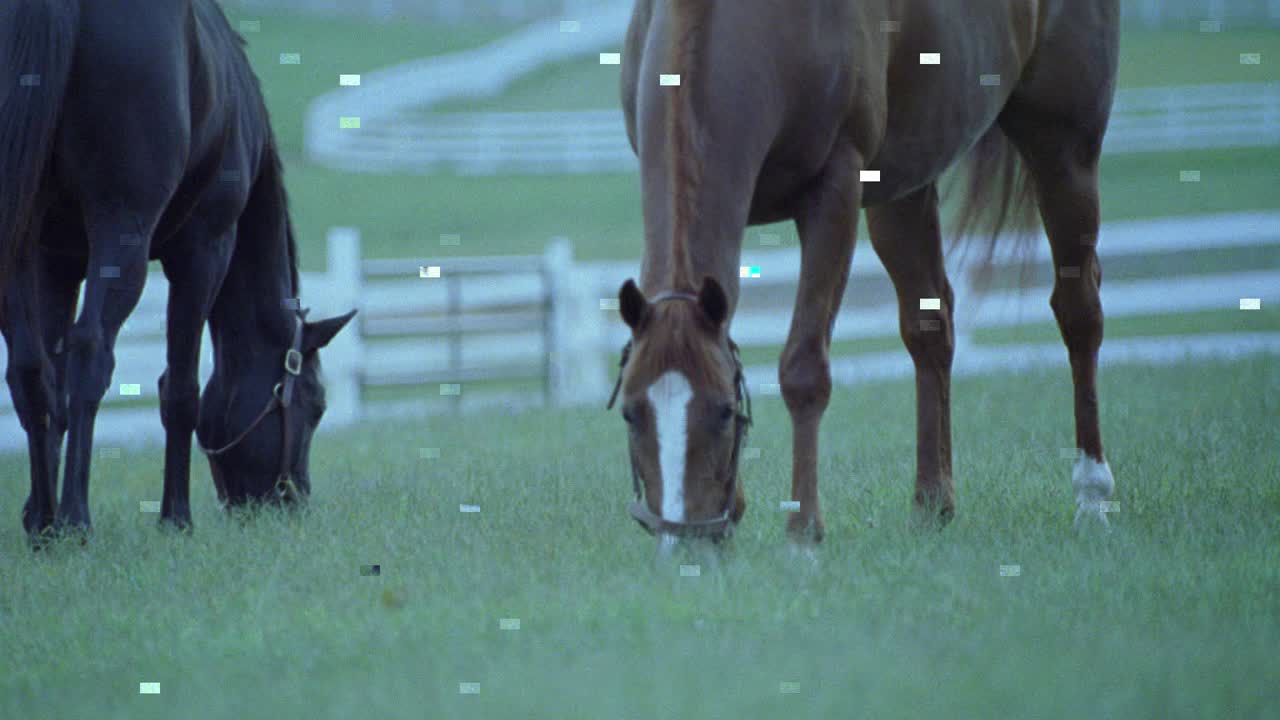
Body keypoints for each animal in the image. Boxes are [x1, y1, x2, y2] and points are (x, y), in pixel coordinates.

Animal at [5, 0, 358, 540]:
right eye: (316, 404)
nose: (293, 499)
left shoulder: (53, 260)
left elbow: (51, 381)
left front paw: (35, 517)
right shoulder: (204, 248)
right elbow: (181, 391)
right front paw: (176, 517)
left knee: (29, 370)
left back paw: (49, 522)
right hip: (123, 223)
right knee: (91, 352)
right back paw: (76, 520)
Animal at [611, 0, 1121, 543]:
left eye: (725, 412)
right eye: (630, 413)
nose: (684, 539)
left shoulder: (834, 191)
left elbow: (804, 369)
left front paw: (803, 532)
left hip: (1065, 152)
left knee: (1079, 314)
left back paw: (1092, 495)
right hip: (904, 186)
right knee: (931, 328)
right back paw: (931, 504)